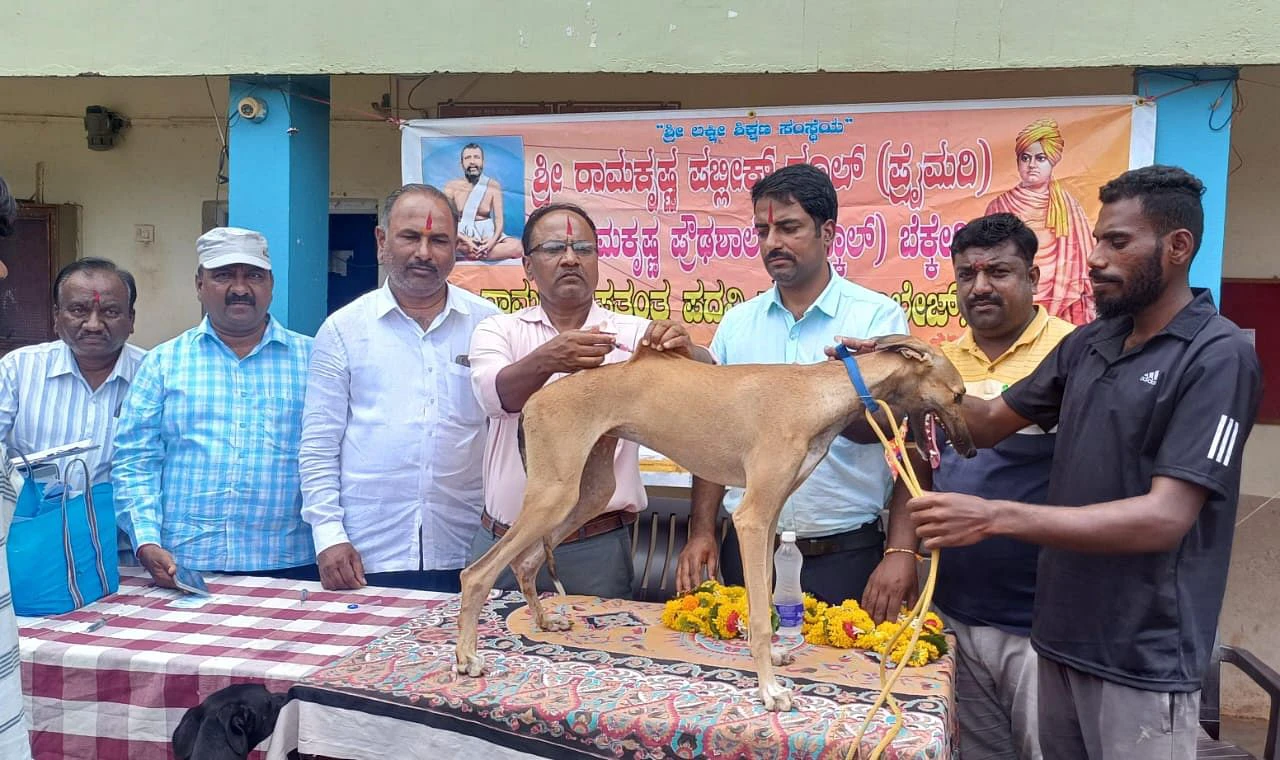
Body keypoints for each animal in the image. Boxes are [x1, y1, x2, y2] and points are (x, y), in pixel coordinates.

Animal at [455, 335, 972, 706]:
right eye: (961, 394)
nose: (967, 450)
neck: (817, 393)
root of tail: (535, 400)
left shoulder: (769, 517)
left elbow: (767, 601)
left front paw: (773, 658)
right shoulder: (752, 517)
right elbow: (760, 617)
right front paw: (769, 690)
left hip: (585, 494)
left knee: (523, 562)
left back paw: (543, 621)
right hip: (554, 493)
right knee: (477, 573)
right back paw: (466, 657)